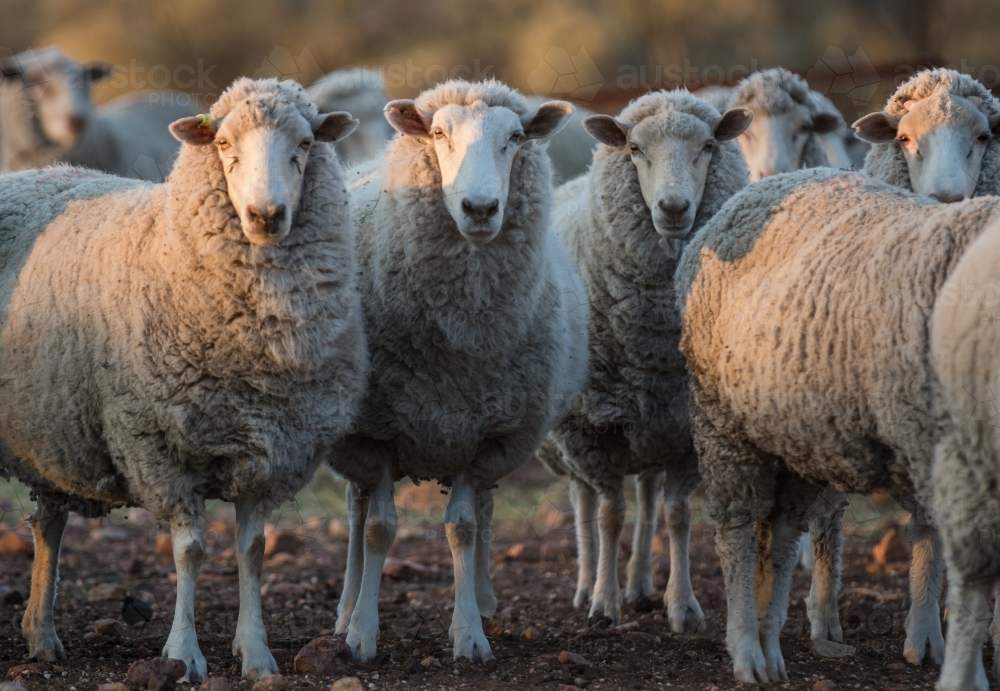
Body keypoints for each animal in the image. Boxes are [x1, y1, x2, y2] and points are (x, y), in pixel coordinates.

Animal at [0, 77, 368, 682]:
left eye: (307, 142)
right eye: (222, 144)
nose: (266, 215)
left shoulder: (266, 450)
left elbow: (253, 551)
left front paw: (257, 655)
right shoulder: (157, 446)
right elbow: (190, 552)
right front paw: (183, 654)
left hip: (52, 426)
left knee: (49, 523)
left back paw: (43, 635)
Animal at [327, 79, 590, 664]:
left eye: (515, 138)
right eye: (440, 134)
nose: (480, 207)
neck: (458, 335)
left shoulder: (483, 432)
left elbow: (465, 529)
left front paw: (469, 633)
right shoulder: (377, 430)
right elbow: (378, 529)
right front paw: (362, 633)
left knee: (487, 511)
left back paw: (487, 599)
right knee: (356, 511)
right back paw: (346, 605)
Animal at [538, 89, 753, 629]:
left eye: (708, 145)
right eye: (634, 148)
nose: (673, 208)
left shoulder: (686, 427)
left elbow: (677, 516)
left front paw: (683, 606)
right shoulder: (591, 430)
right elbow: (609, 514)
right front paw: (603, 604)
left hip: (651, 428)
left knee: (649, 499)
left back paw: (638, 586)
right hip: (576, 440)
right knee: (585, 507)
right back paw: (586, 585)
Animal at [675, 167, 1000, 683]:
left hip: (799, 441)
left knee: (782, 534)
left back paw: (771, 646)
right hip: (722, 421)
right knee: (737, 533)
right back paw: (747, 650)